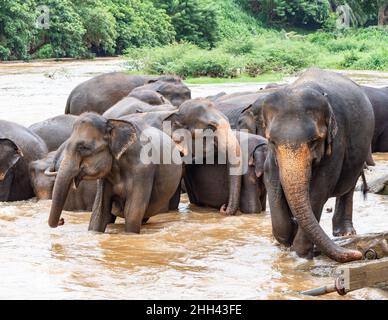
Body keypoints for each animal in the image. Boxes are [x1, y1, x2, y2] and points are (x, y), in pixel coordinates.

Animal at [47, 113, 183, 232]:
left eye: (84, 148)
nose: (62, 220)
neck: (111, 122)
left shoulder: (143, 171)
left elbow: (132, 213)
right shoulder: (105, 178)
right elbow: (100, 213)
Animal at [260, 67, 374, 262]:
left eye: (314, 141)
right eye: (272, 141)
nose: (359, 254)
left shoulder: (336, 141)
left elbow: (320, 188)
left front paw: (300, 254)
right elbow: (271, 179)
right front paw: (287, 237)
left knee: (349, 186)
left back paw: (345, 233)